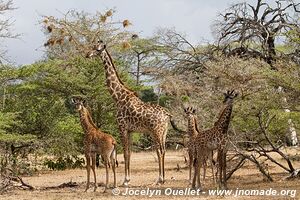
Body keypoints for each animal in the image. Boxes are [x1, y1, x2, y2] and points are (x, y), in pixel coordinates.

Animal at [86, 41, 173, 186]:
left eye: (97, 49)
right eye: (91, 46)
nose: (87, 54)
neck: (118, 97)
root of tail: (167, 115)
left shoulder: (122, 127)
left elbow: (126, 153)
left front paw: (125, 180)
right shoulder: (131, 130)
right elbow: (130, 153)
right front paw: (128, 178)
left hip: (156, 131)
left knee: (160, 150)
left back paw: (159, 179)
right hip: (164, 132)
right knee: (163, 150)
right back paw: (163, 178)